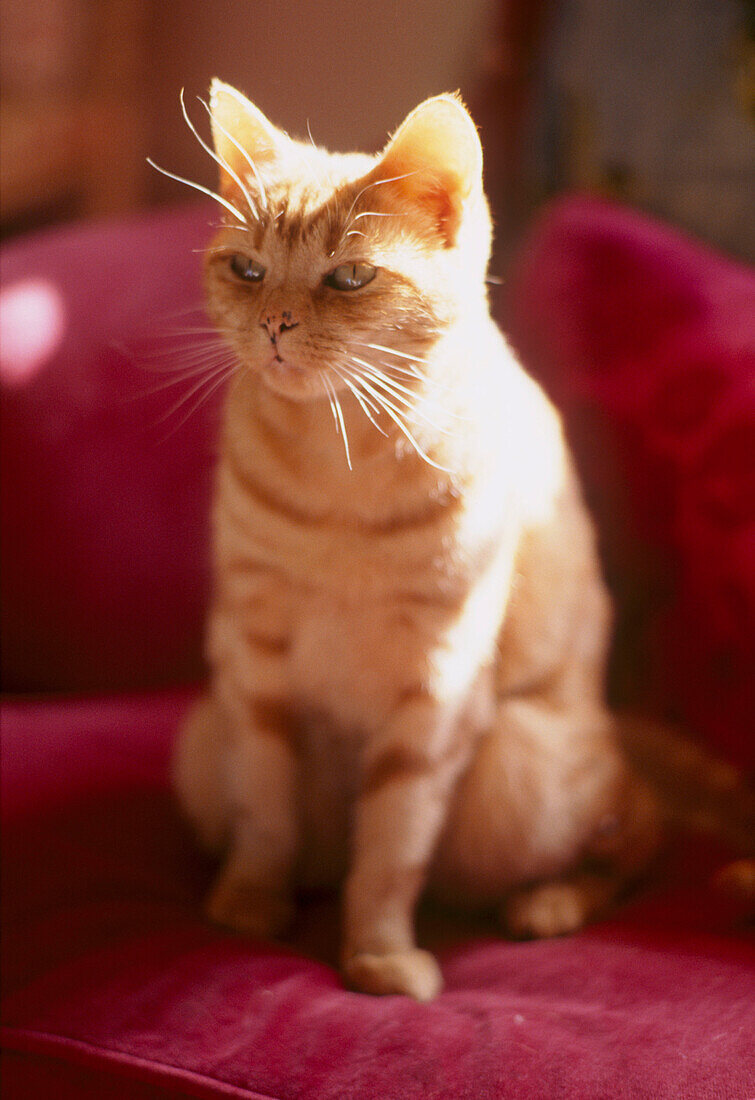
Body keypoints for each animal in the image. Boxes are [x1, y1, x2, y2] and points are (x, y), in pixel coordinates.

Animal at [172, 81, 660, 1003]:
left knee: (634, 840)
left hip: (525, 765)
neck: (335, 461)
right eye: (247, 269)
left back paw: (547, 904)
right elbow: (264, 809)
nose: (275, 324)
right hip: (200, 740)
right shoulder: (251, 662)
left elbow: (393, 848)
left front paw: (378, 954)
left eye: (351, 276)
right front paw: (250, 904)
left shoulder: (436, 682)